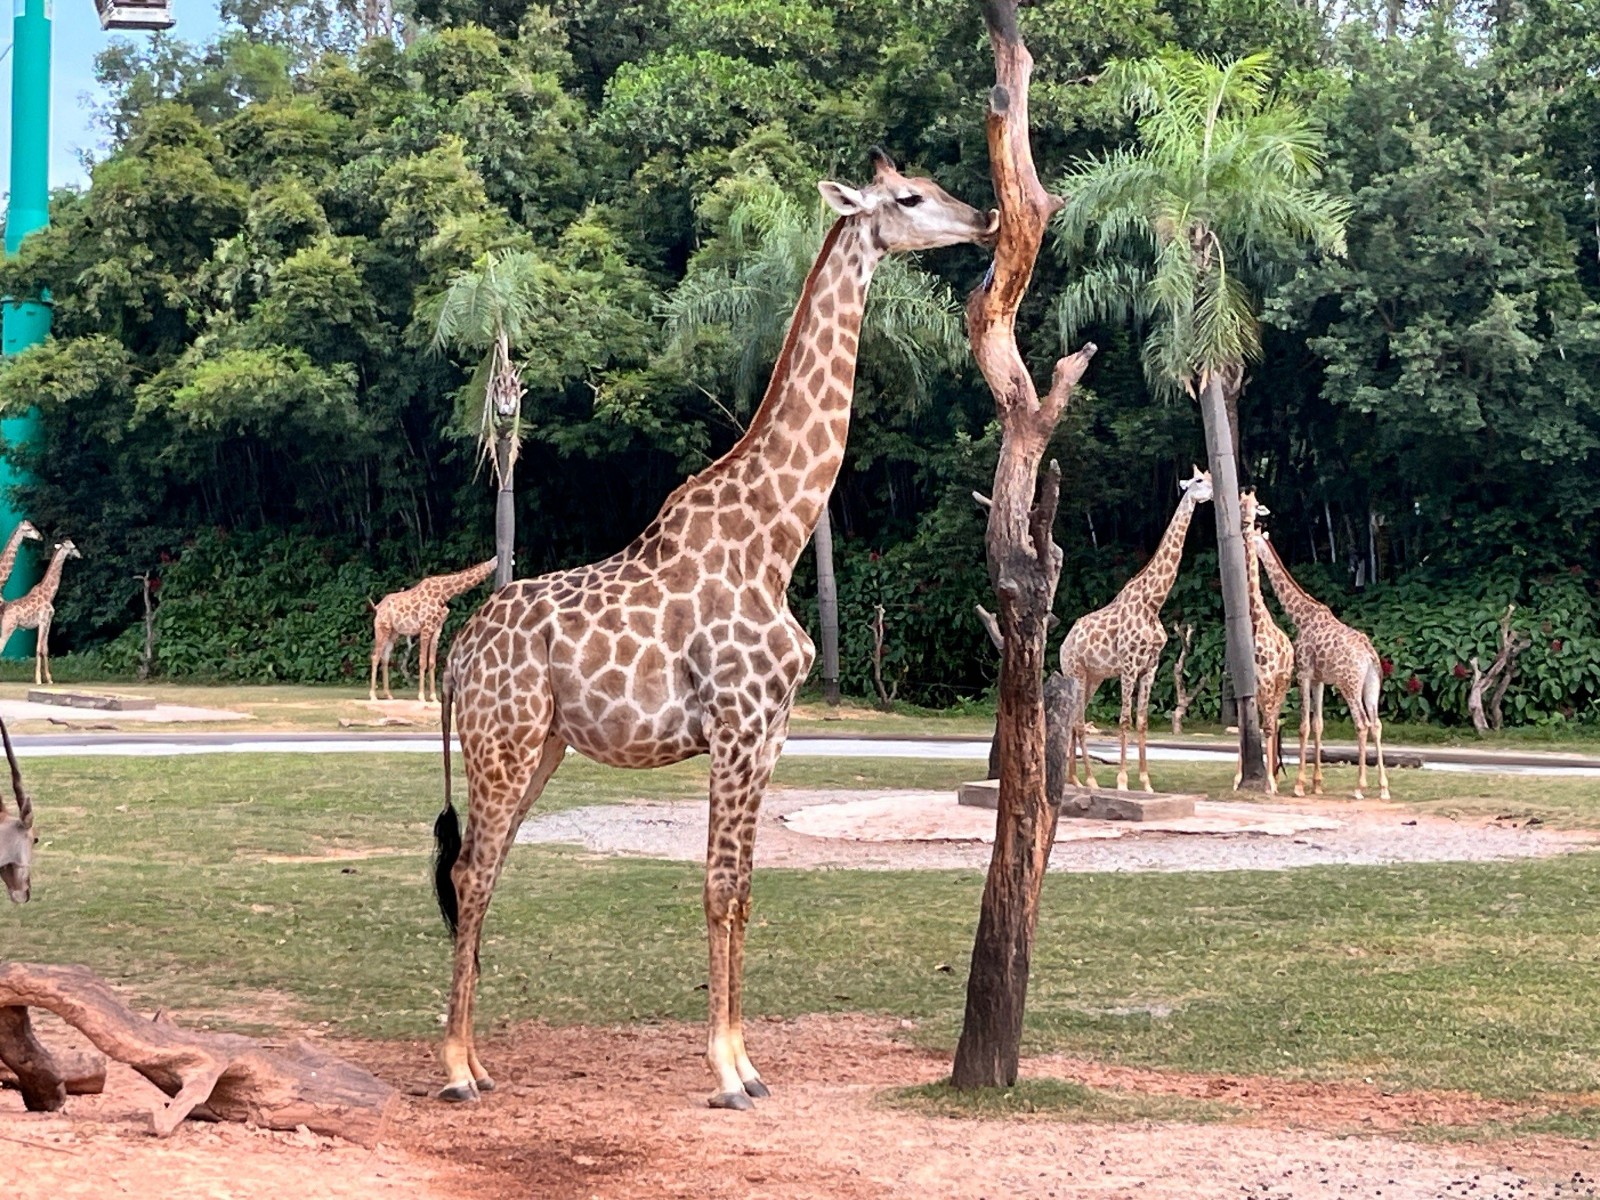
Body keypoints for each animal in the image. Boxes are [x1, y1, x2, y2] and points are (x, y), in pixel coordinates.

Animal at [0, 540, 81, 686]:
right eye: (72, 547)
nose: (79, 554)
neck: (49, 594)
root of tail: (4, 607)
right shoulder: (42, 621)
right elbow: (38, 649)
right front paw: (38, 679)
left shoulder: (48, 622)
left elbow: (45, 649)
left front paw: (49, 679)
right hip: (8, 627)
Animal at [369, 558, 498, 704]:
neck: (444, 593)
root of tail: (378, 606)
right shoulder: (426, 628)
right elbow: (422, 662)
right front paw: (421, 696)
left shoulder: (437, 629)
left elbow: (431, 663)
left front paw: (434, 697)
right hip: (382, 628)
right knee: (375, 656)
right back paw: (373, 696)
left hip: (393, 633)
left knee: (385, 657)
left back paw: (388, 695)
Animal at [430, 152, 996, 1111]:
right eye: (909, 197)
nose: (987, 217)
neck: (777, 538)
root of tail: (457, 655)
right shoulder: (735, 725)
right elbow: (718, 885)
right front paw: (727, 1073)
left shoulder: (770, 732)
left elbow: (745, 890)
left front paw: (750, 1064)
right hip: (502, 742)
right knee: (471, 869)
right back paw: (457, 1070)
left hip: (538, 745)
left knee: (485, 866)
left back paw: (481, 1062)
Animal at [1058, 468, 1213, 793]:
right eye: (1197, 481)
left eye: (1208, 477)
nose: (1215, 492)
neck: (1153, 601)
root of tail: (1064, 645)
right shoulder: (1128, 666)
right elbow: (1124, 720)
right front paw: (1121, 782)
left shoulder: (1150, 666)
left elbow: (1142, 721)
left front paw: (1145, 782)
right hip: (1075, 672)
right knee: (1077, 721)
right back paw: (1088, 779)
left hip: (1094, 678)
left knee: (1074, 720)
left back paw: (1074, 779)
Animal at [1254, 530, 1391, 801]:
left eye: (1252, 537)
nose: (1245, 544)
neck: (1301, 616)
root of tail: (1369, 656)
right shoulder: (1319, 680)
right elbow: (1318, 725)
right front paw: (1317, 784)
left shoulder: (1304, 674)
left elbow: (1304, 726)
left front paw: (1299, 786)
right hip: (1371, 686)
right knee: (1377, 724)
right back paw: (1383, 788)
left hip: (1349, 685)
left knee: (1362, 723)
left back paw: (1359, 787)